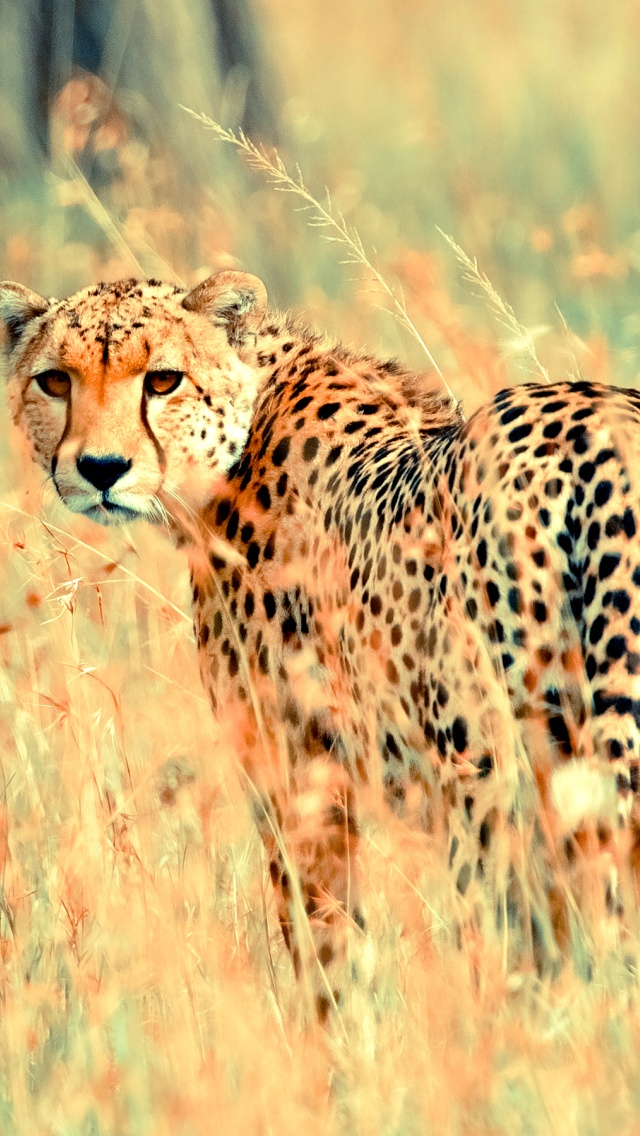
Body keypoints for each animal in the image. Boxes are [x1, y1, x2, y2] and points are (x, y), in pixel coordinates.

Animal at [3, 268, 640, 1017]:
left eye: (162, 380)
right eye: (55, 380)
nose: (101, 467)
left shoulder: (298, 773)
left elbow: (325, 949)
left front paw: (338, 1041)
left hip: (493, 769)